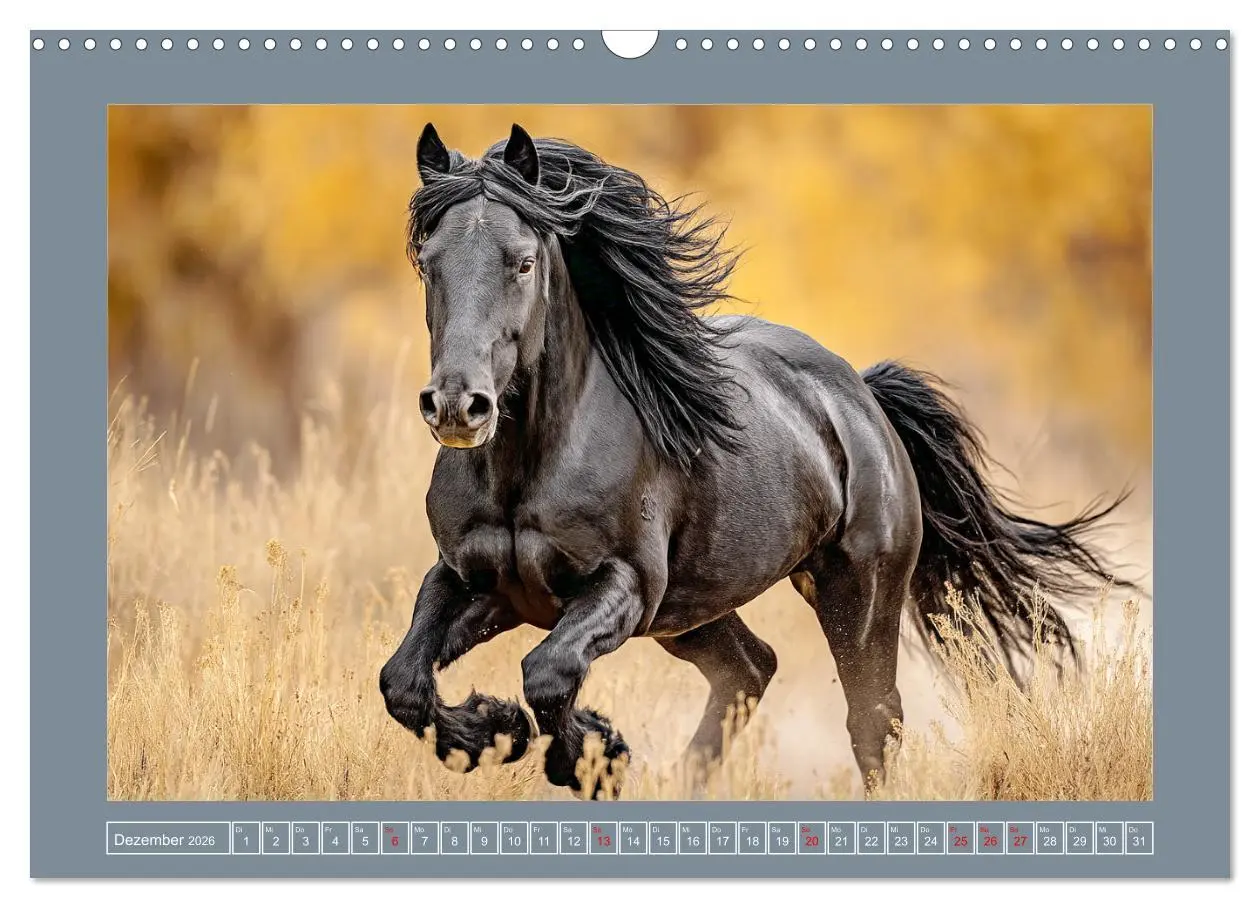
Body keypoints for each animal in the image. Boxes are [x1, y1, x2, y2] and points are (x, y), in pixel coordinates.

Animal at [378, 123, 1128, 797]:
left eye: (523, 262)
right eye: (428, 261)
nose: (458, 407)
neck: (531, 466)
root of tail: (862, 398)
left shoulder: (623, 586)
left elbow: (549, 671)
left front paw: (591, 755)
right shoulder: (474, 581)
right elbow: (404, 681)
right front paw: (495, 729)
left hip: (855, 596)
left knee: (872, 721)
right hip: (695, 609)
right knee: (749, 669)